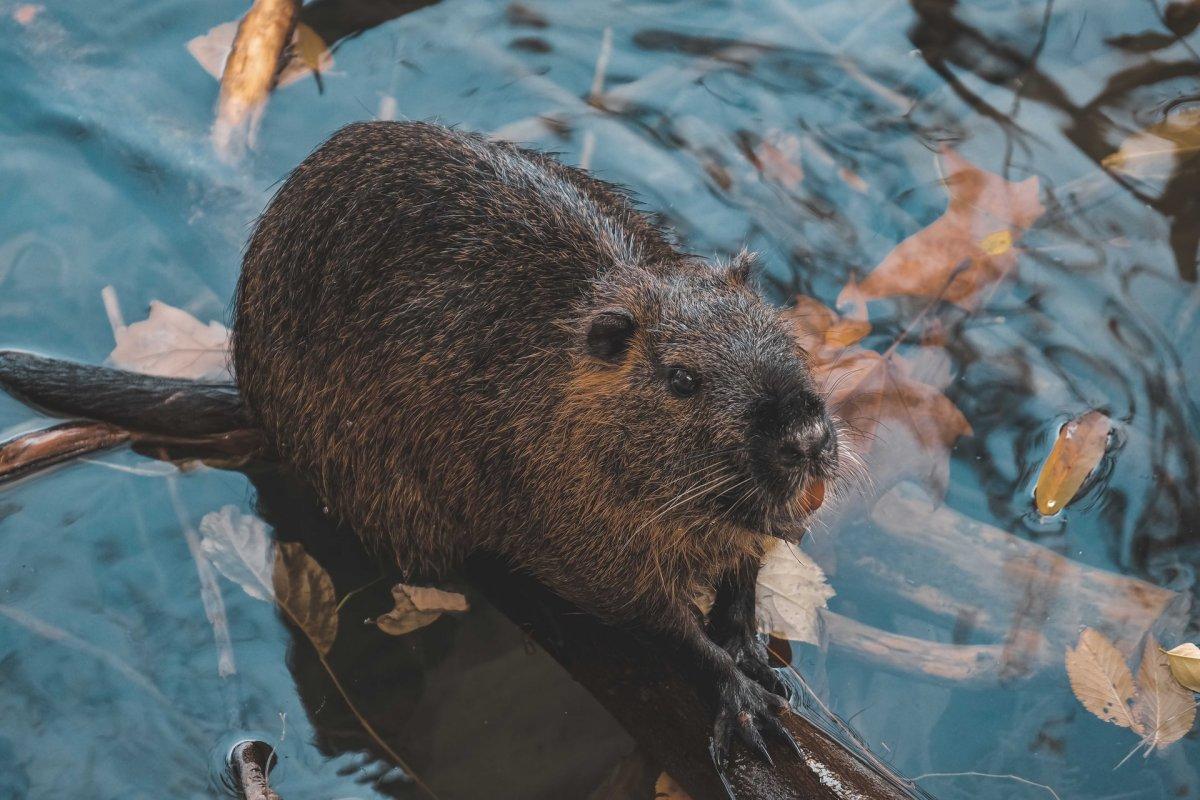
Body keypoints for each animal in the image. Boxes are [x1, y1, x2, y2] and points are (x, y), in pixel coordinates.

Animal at [0, 122, 844, 767]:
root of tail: (246, 395)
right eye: (682, 379)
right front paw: (738, 688)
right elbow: (649, 615)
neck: (554, 377)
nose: (806, 437)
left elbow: (746, 565)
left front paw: (749, 641)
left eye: (778, 328)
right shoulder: (572, 522)